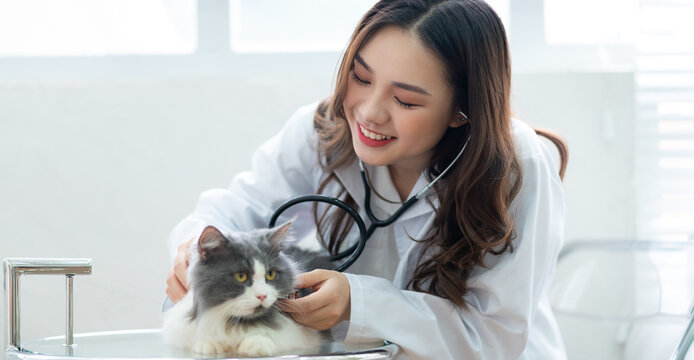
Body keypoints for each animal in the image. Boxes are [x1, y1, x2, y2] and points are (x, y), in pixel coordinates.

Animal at [162, 222, 330, 358]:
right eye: (241, 276)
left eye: (270, 274)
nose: (262, 296)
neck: (235, 323)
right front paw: (212, 345)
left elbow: (267, 338)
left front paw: (255, 345)